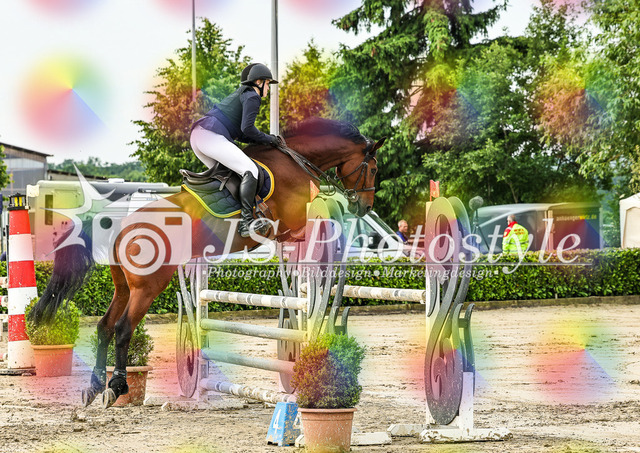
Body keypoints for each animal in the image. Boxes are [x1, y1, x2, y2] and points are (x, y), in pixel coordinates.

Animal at [29, 117, 385, 408]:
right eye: (373, 168)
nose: (365, 206)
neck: (295, 161)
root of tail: (120, 223)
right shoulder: (292, 222)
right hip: (148, 286)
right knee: (122, 328)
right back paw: (116, 386)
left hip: (124, 287)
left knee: (104, 327)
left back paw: (94, 387)